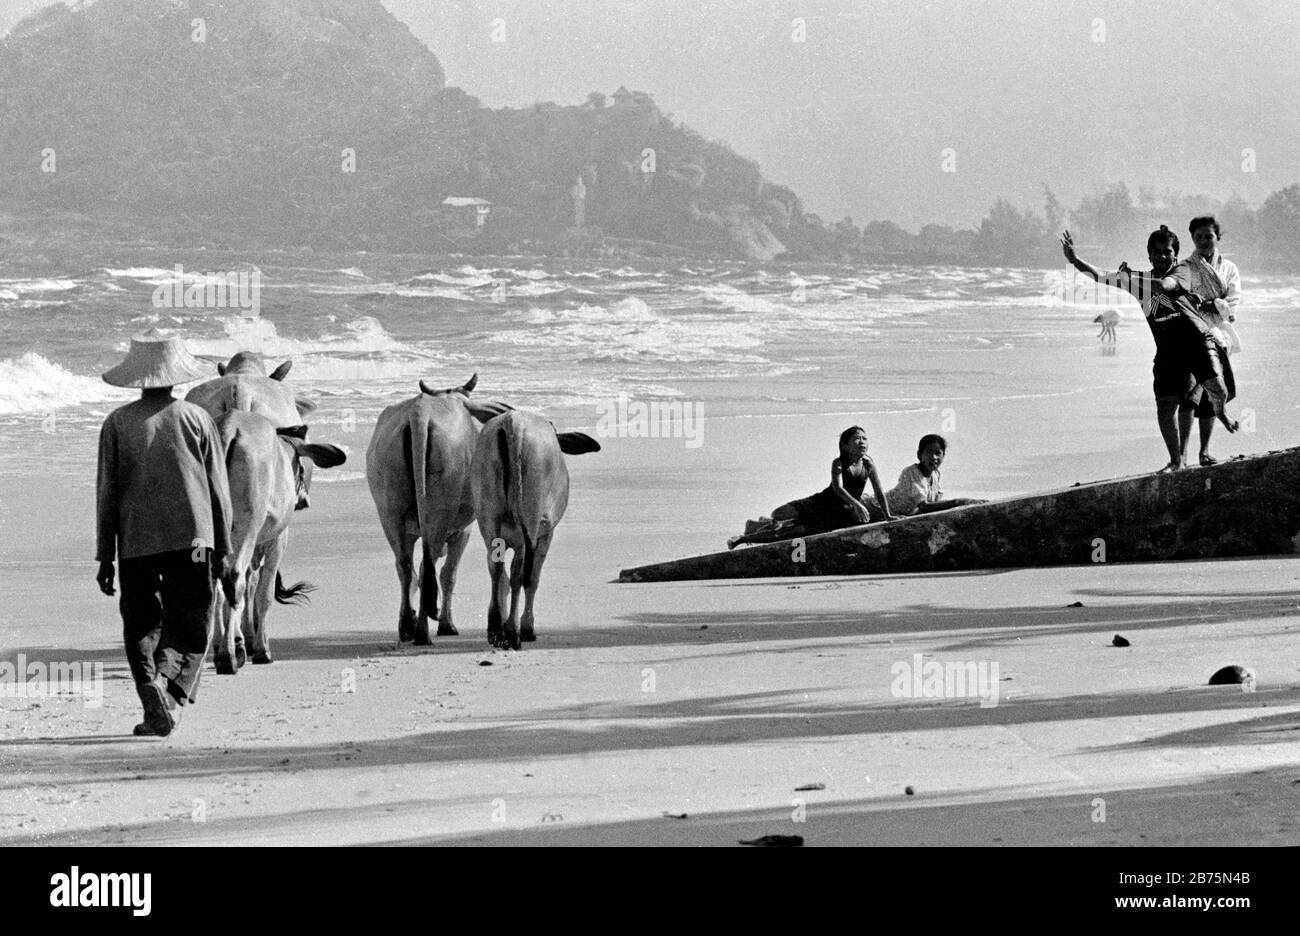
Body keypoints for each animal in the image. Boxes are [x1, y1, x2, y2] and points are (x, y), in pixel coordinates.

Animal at [208, 410, 343, 670]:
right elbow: (263, 593)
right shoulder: (276, 540)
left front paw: (243, 640)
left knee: (220, 586)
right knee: (234, 579)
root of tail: (229, 425)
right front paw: (260, 649)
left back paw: (223, 649)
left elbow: (247, 589)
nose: (304, 500)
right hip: (247, 526)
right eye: (300, 467)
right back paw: (229, 656)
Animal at [366, 371, 512, 644]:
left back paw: (407, 626)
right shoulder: (463, 531)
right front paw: (446, 624)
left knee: (406, 566)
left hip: (389, 512)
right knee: (429, 567)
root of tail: (420, 412)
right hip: (439, 512)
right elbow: (449, 574)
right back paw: (423, 632)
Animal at [470, 410, 600, 650]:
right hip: (529, 522)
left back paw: (495, 628)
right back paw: (513, 631)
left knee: (497, 570)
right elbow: (532, 579)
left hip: (489, 517)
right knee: (520, 573)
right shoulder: (546, 534)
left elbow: (503, 580)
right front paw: (527, 627)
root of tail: (513, 421)